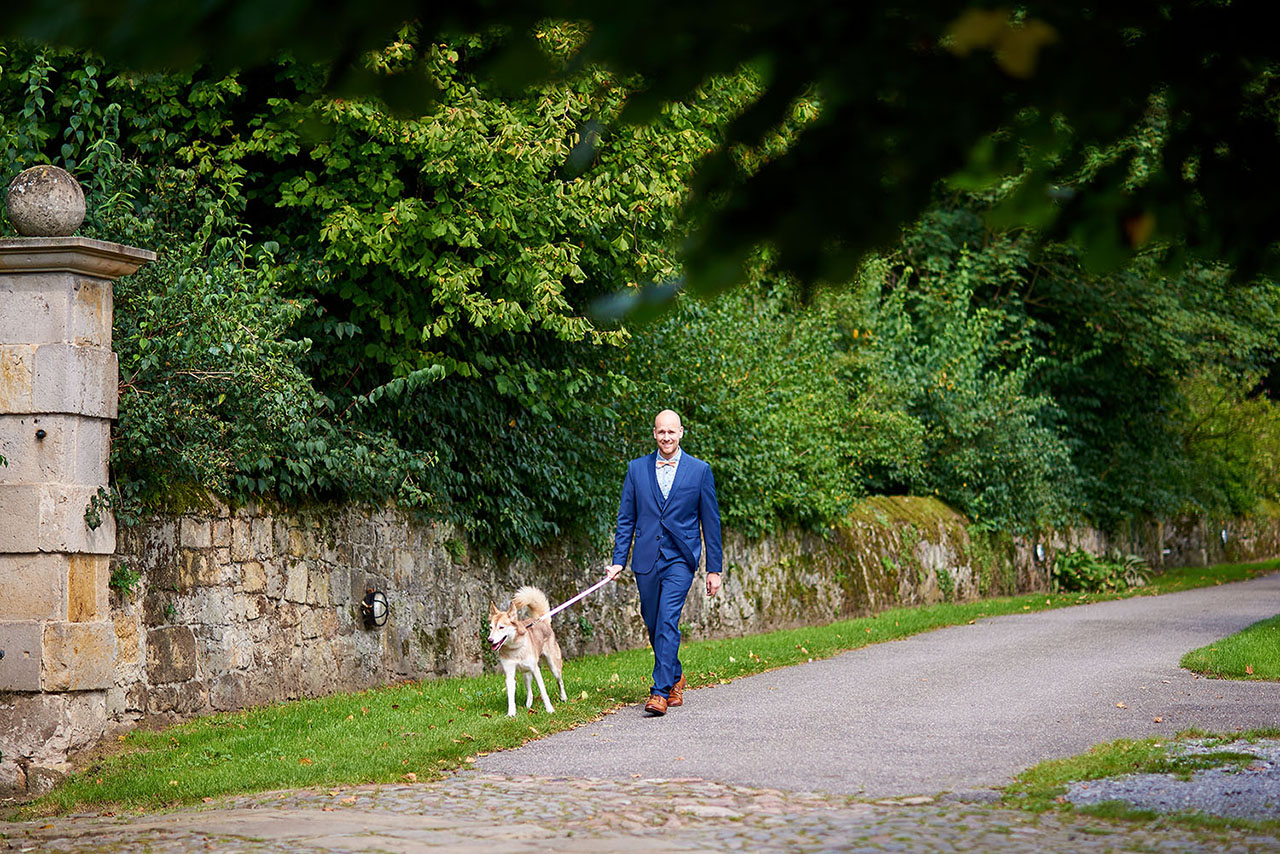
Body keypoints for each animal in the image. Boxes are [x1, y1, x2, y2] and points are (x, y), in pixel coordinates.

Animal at [486, 583, 568, 717]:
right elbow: (511, 697)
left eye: (501, 627)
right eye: (490, 627)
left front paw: (550, 709)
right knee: (529, 690)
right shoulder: (509, 674)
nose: (490, 640)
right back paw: (528, 704)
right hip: (526, 674)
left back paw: (563, 697)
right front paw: (511, 713)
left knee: (560, 681)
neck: (515, 648)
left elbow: (543, 692)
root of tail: (541, 620)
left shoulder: (536, 670)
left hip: (553, 666)